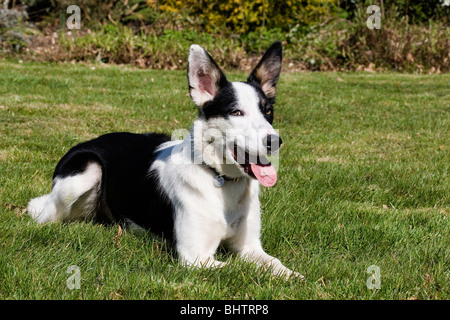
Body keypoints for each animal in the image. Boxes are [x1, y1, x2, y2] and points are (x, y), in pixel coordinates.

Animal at [29, 42, 300, 278]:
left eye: (268, 111)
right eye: (236, 112)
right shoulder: (195, 257)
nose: (275, 141)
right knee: (46, 213)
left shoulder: (250, 247)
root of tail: (93, 139)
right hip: (86, 172)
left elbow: (276, 264)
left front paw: (294, 276)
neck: (219, 179)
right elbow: (240, 269)